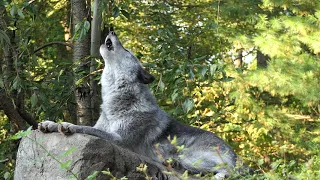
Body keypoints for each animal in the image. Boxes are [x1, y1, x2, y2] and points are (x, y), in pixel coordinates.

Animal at [38, 31, 246, 179]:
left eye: (128, 51)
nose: (111, 30)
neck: (119, 100)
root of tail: (236, 156)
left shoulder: (120, 140)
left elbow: (87, 129)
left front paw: (68, 125)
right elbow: (87, 127)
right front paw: (50, 124)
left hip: (191, 156)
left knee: (231, 171)